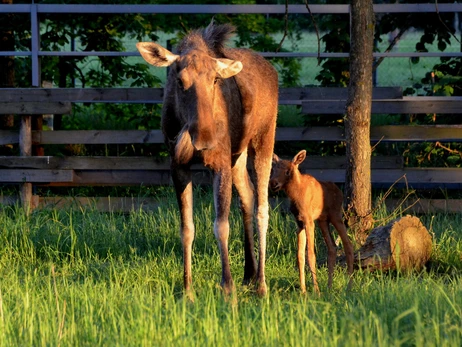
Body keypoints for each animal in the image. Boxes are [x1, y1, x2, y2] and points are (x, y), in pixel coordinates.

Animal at [135, 22, 276, 300]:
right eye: (180, 81)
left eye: (215, 79)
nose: (205, 138)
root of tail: (272, 69)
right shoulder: (178, 166)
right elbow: (186, 228)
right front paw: (187, 290)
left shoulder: (219, 162)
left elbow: (221, 225)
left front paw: (227, 288)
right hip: (237, 154)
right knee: (248, 195)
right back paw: (249, 273)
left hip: (264, 139)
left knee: (263, 207)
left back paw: (262, 284)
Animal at [270, 151, 354, 294]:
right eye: (273, 169)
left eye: (288, 171)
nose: (273, 183)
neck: (295, 195)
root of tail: (339, 191)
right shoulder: (299, 222)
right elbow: (300, 256)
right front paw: (303, 290)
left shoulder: (309, 221)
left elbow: (310, 254)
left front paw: (316, 290)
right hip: (323, 220)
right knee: (332, 247)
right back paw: (329, 287)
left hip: (335, 216)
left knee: (348, 245)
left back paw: (348, 288)